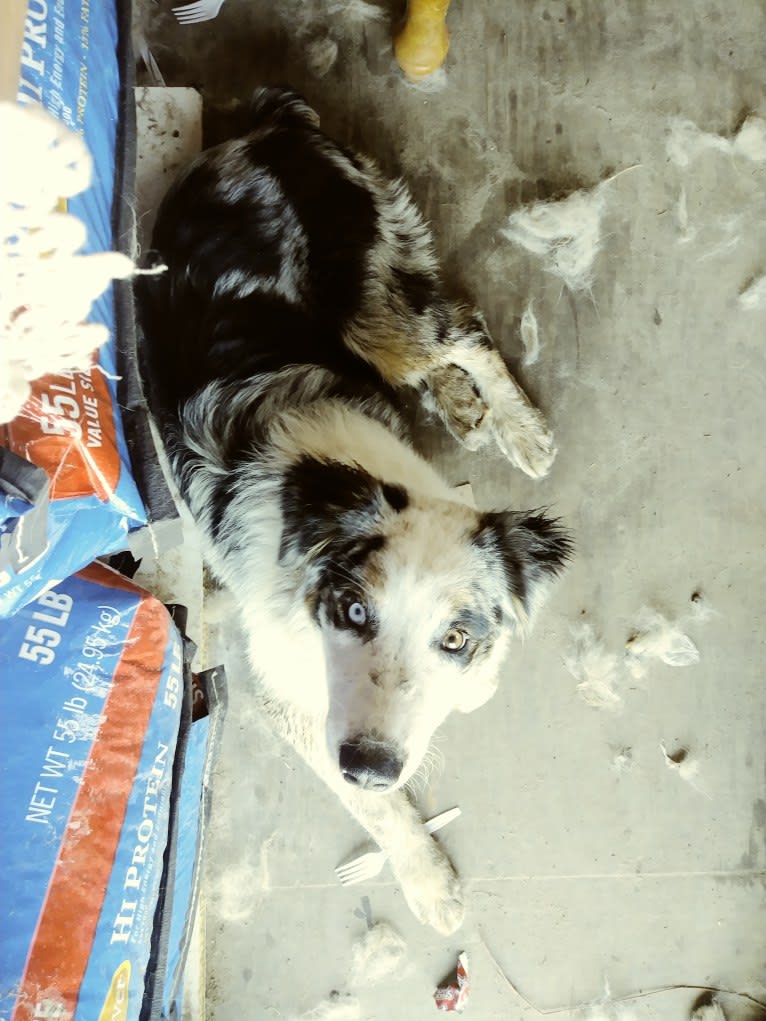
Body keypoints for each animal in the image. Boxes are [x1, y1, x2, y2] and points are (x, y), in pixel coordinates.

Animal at [137, 87, 571, 935]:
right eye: (352, 611)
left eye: (455, 635)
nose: (370, 762)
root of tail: (265, 127)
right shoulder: (300, 703)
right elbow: (379, 810)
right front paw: (429, 881)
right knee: (451, 340)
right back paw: (469, 409)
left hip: (379, 306)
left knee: (463, 332)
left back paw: (518, 426)